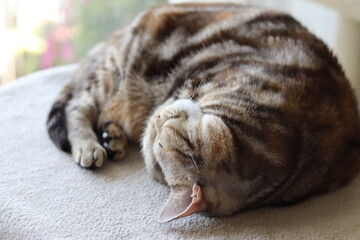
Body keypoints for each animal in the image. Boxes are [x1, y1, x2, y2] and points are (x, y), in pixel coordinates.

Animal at [47, 2, 360, 223]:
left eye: (160, 154)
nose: (157, 119)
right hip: (119, 67)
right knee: (78, 105)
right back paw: (90, 145)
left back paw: (112, 139)